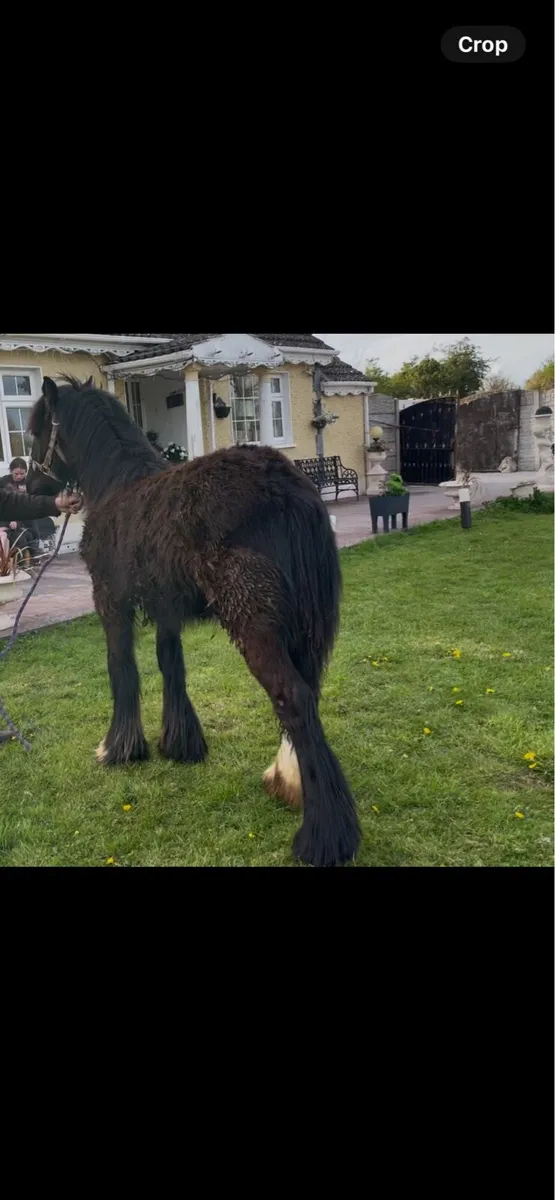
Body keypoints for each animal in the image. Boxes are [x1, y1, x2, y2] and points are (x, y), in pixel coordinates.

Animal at [27, 375, 361, 867]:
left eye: (35, 429)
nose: (30, 483)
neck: (116, 488)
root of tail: (290, 490)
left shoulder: (110, 603)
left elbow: (121, 670)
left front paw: (117, 748)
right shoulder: (166, 608)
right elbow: (171, 668)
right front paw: (180, 745)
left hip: (254, 623)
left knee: (294, 699)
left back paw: (324, 837)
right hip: (302, 629)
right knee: (308, 692)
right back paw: (286, 782)